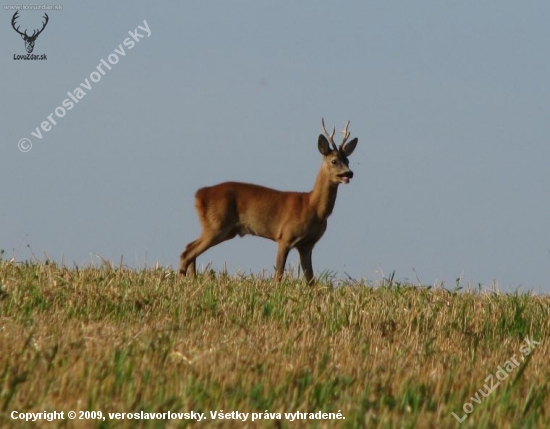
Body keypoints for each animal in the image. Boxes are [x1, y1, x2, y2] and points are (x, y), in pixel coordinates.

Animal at [181, 118, 360, 284]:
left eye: (348, 160)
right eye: (334, 161)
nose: (349, 173)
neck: (312, 207)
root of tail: (199, 194)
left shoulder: (307, 245)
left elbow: (310, 280)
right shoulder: (285, 236)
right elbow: (278, 274)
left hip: (223, 229)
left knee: (189, 248)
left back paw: (192, 279)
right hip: (217, 224)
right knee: (186, 253)